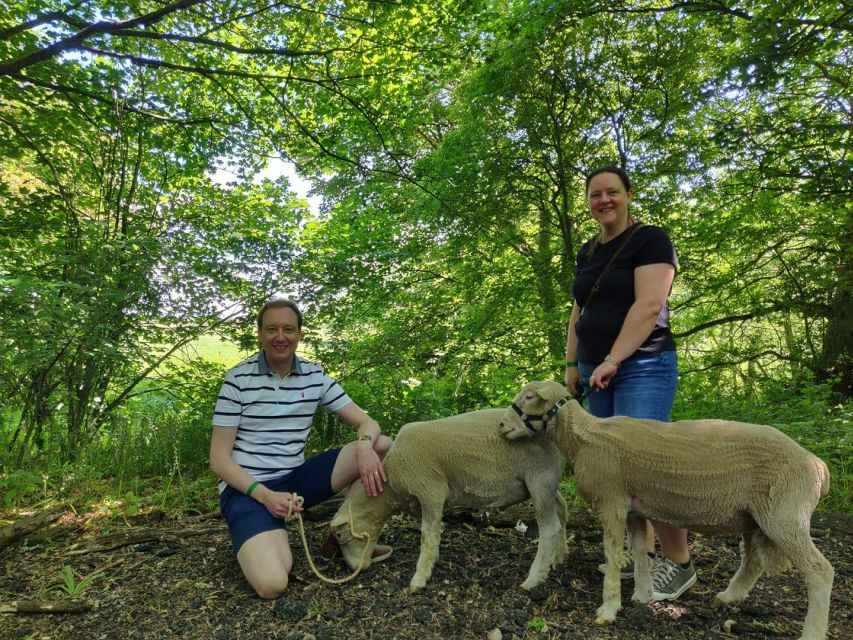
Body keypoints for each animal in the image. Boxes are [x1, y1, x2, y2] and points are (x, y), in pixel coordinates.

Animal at [330, 408, 568, 592]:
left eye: (340, 535)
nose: (353, 569)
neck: (390, 489)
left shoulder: (430, 491)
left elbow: (427, 536)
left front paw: (419, 578)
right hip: (545, 482)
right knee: (562, 510)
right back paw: (559, 557)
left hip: (540, 476)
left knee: (549, 529)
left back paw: (534, 578)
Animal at [500, 380, 832, 640]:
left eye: (529, 396)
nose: (501, 425)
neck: (583, 439)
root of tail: (818, 466)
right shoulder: (633, 508)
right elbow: (639, 551)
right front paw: (641, 595)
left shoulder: (611, 501)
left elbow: (612, 552)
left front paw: (609, 608)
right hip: (755, 518)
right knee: (752, 561)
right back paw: (728, 597)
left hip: (786, 513)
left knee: (820, 571)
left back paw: (812, 632)